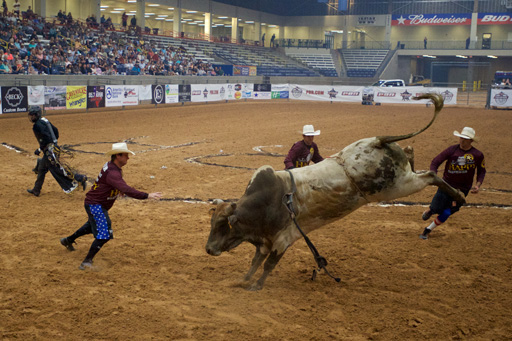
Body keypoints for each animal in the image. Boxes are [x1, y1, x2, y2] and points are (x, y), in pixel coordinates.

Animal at [204, 93, 464, 290]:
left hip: (395, 187)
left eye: (222, 225)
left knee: (430, 176)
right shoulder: (265, 242)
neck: (268, 203)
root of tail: (375, 141)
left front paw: (256, 286)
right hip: (398, 177)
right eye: (212, 223)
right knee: (413, 156)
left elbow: (268, 265)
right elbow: (255, 262)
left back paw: (459, 195)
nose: (208, 249)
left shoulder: (282, 240)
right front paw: (243, 280)